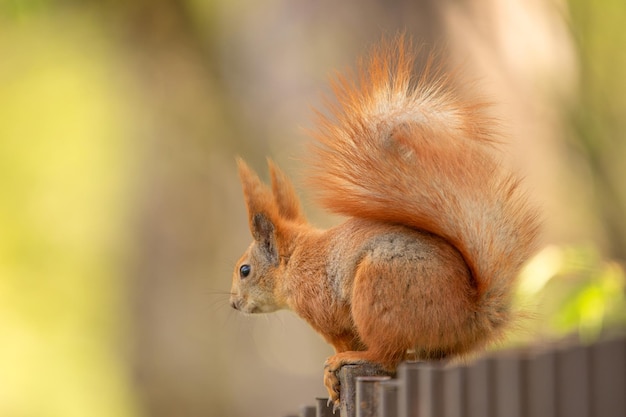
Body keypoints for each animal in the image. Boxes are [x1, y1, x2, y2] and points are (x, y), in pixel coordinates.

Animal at [227, 35, 540, 406]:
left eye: (245, 270)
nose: (233, 303)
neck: (294, 262)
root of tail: (469, 314)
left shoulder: (326, 313)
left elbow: (341, 339)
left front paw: (332, 369)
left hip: (377, 293)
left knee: (387, 356)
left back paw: (354, 358)